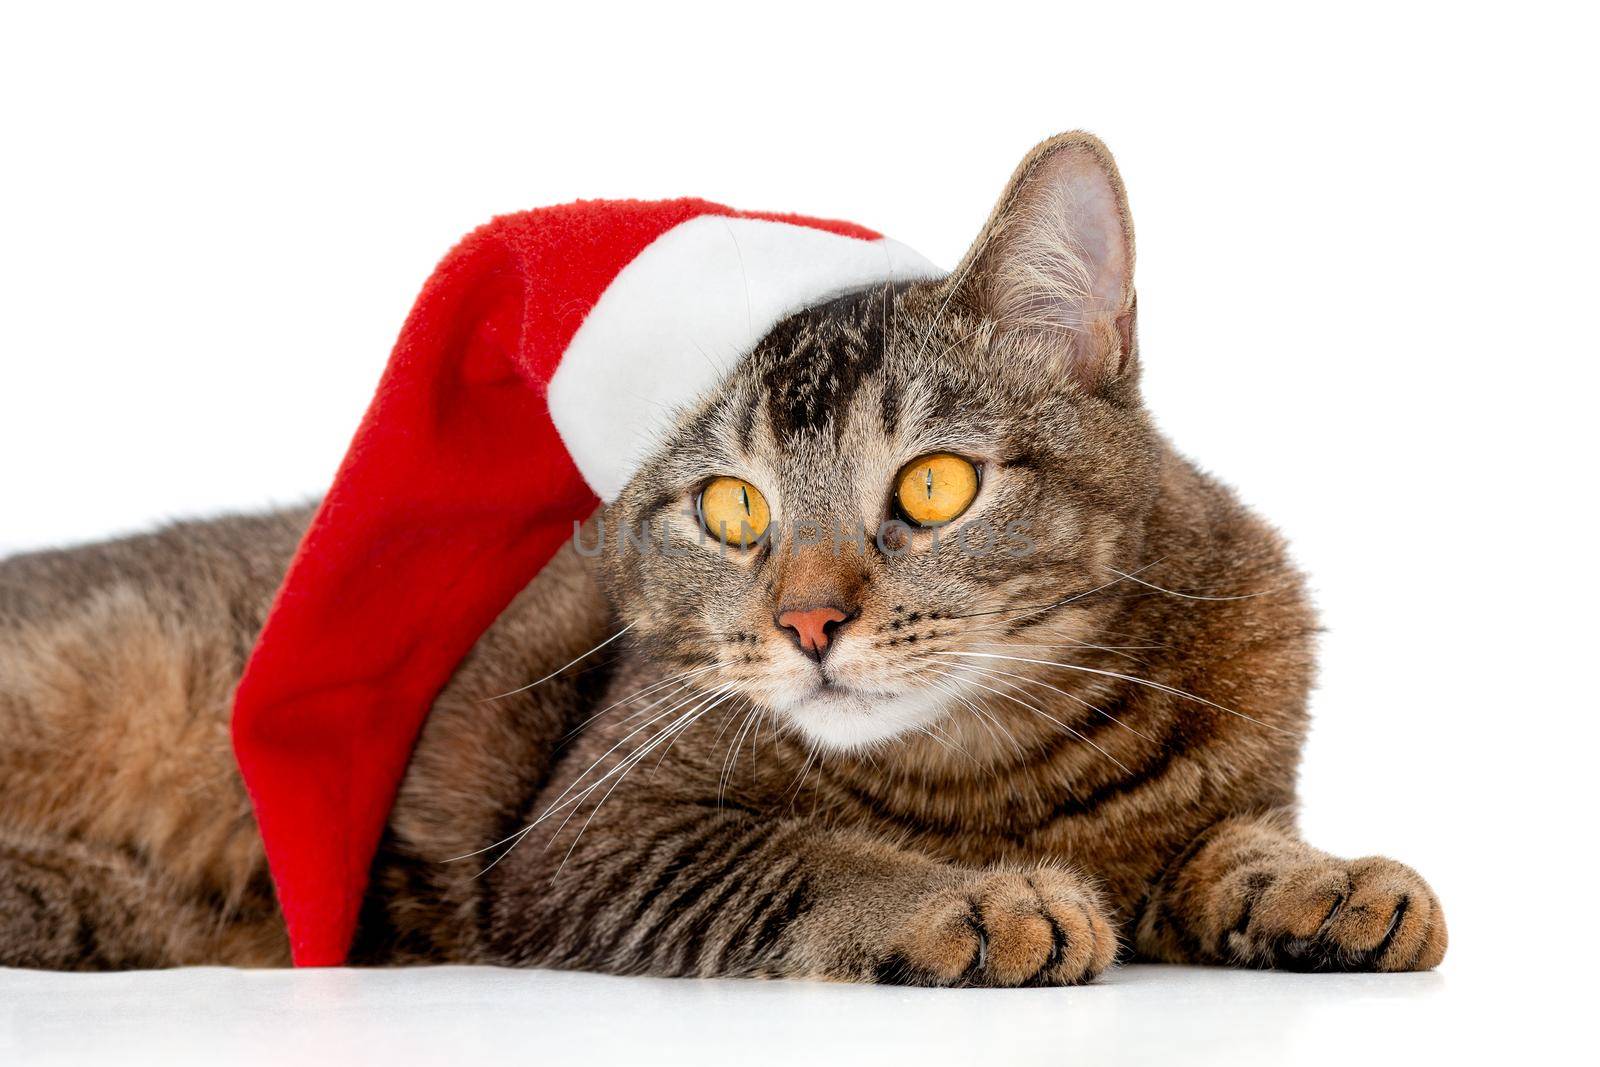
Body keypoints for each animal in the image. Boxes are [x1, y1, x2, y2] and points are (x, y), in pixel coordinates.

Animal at [0, 135, 1452, 985]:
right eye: (735, 509)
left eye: (933, 485)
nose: (809, 621)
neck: (1021, 766)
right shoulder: (593, 832)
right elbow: (801, 854)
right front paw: (967, 897)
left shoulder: (1239, 771)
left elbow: (1237, 835)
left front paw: (1320, 881)